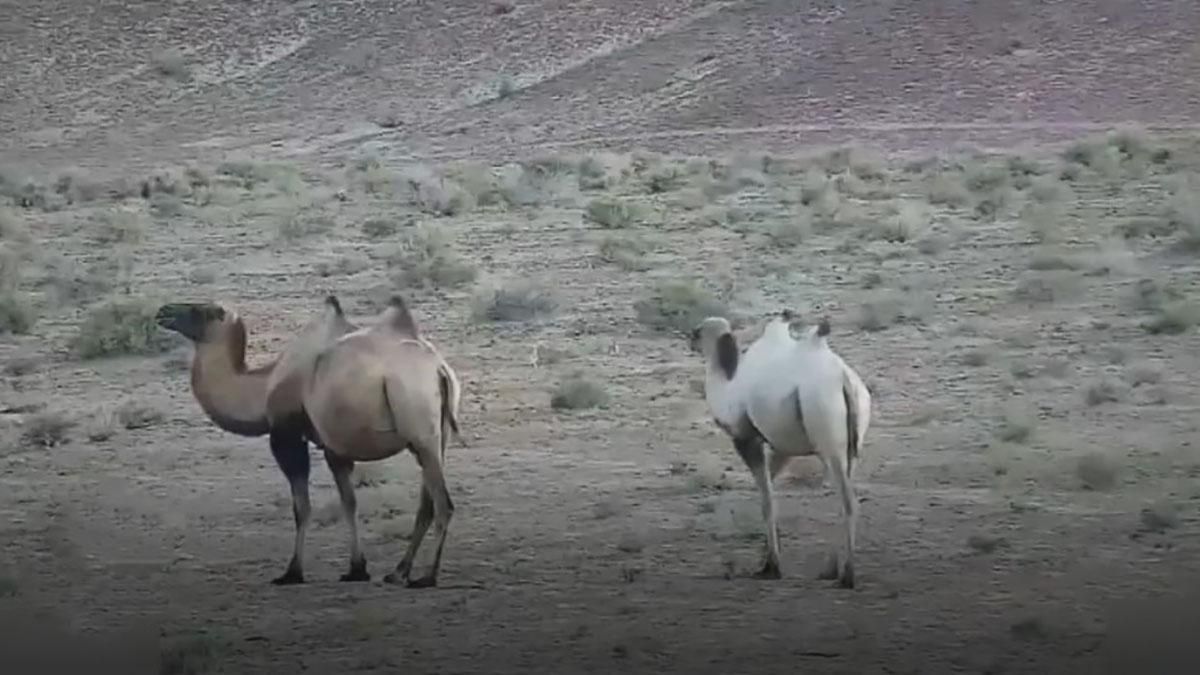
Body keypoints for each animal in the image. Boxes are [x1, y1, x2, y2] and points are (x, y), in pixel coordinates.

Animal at [696, 307, 873, 586]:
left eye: (700, 331)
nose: (690, 337)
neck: (728, 389)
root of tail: (844, 379)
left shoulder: (747, 439)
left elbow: (767, 501)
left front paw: (771, 567)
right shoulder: (783, 447)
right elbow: (771, 490)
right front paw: (766, 559)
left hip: (826, 429)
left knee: (848, 500)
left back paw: (848, 576)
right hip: (852, 443)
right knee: (843, 492)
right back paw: (829, 570)